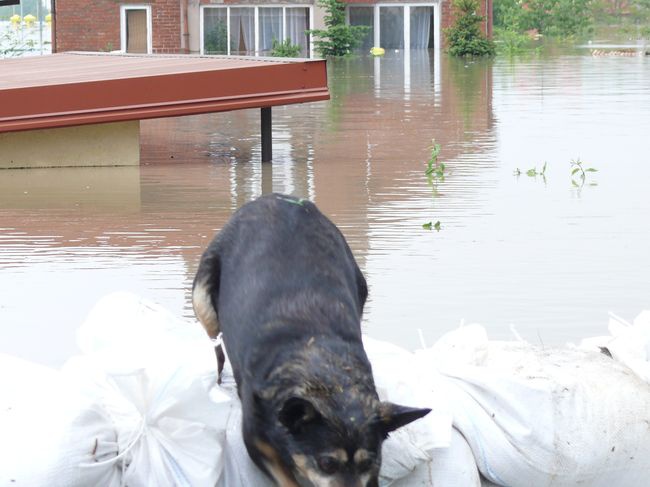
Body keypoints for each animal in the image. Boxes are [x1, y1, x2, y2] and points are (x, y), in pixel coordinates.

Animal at [191, 194, 430, 487]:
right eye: (327, 463)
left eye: (367, 463)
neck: (321, 364)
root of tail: (279, 197)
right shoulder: (258, 443)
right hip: (202, 300)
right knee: (217, 350)